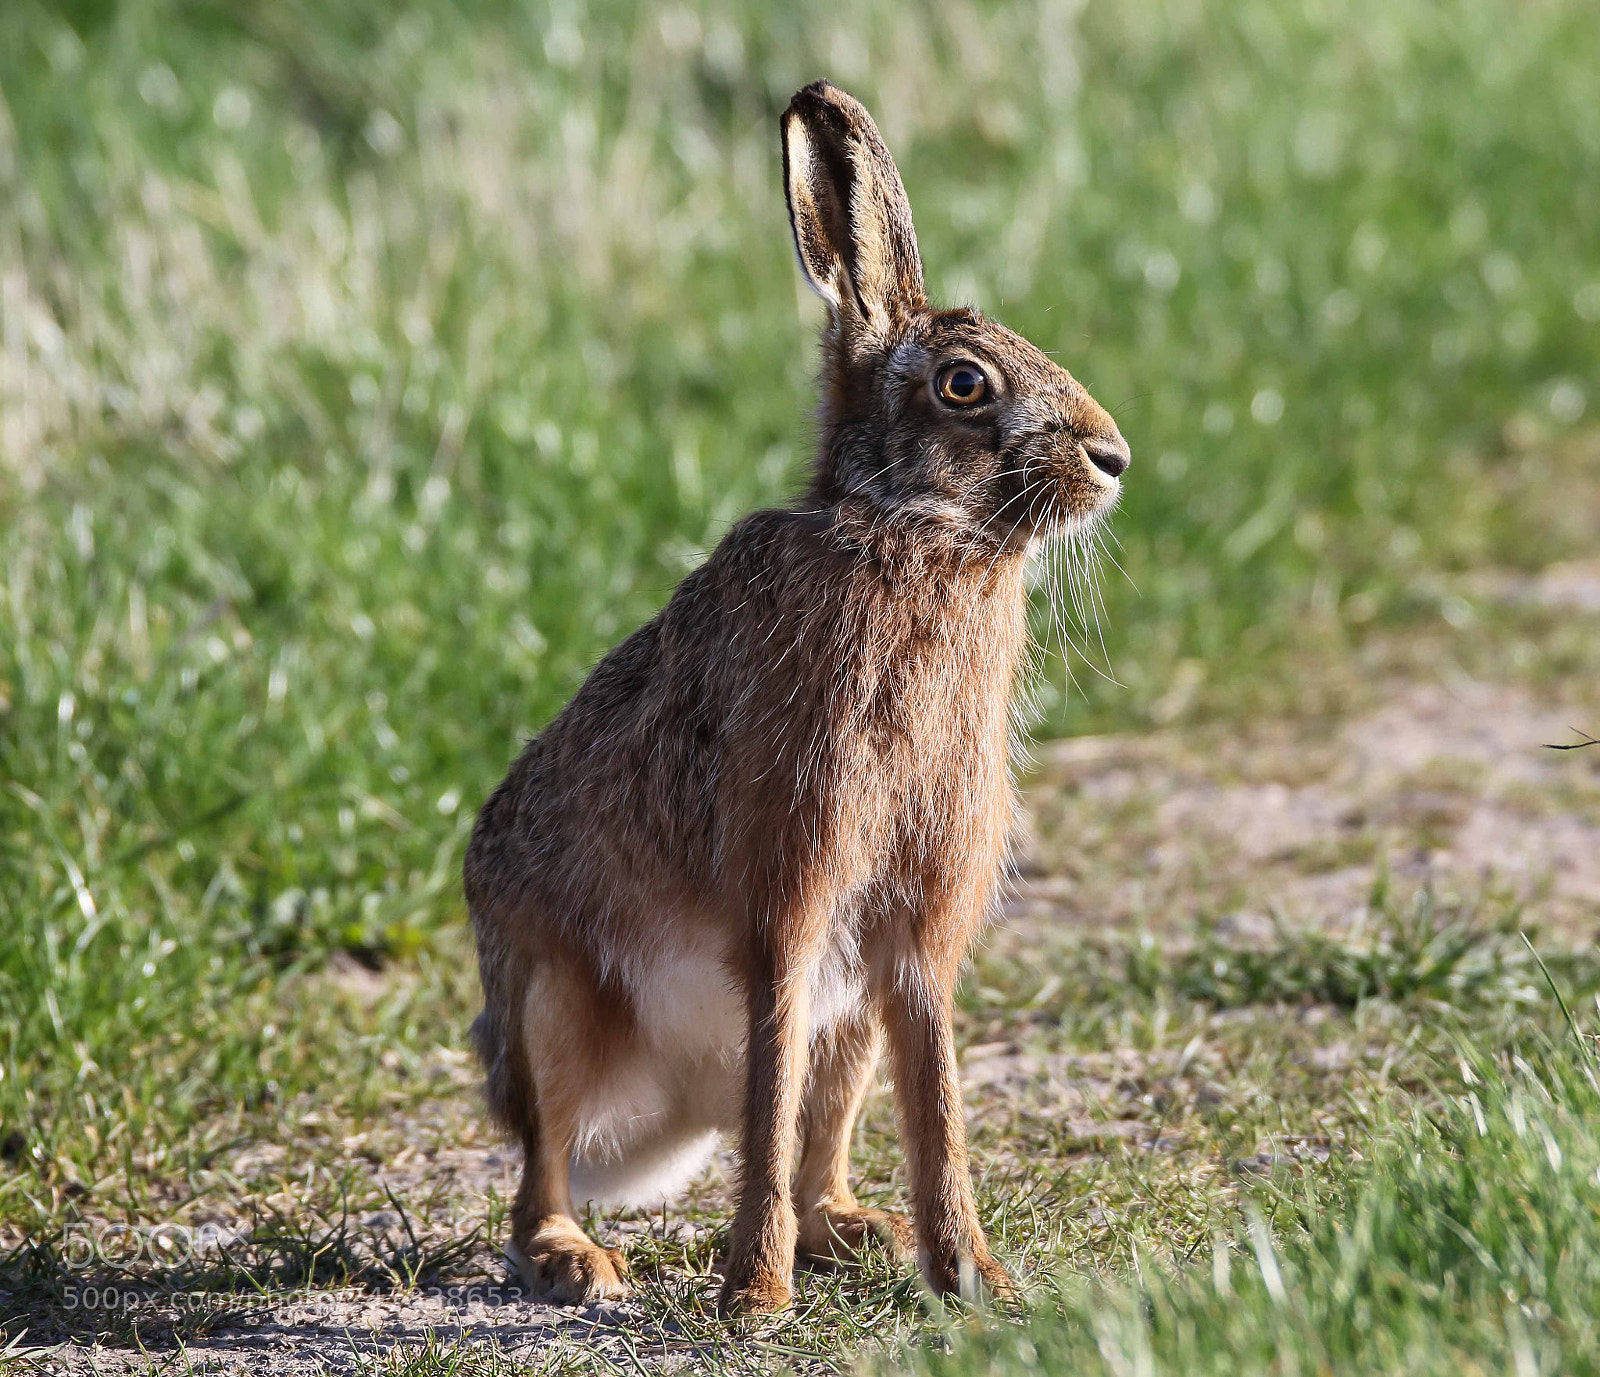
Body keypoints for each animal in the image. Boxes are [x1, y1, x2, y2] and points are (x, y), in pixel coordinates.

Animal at [464, 79, 1130, 1317]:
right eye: (965, 383)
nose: (1112, 458)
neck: (913, 533)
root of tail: (670, 1119)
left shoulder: (914, 929)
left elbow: (939, 1103)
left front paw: (978, 1279)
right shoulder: (788, 885)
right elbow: (773, 1082)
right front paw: (751, 1296)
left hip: (846, 1019)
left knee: (819, 1142)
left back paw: (854, 1233)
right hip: (548, 1002)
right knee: (542, 1165)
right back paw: (578, 1258)